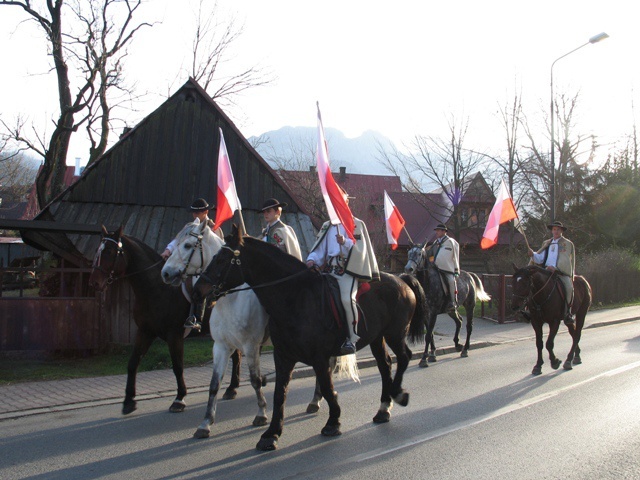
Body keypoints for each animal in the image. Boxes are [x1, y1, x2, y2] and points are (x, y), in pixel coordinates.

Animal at [87, 227, 242, 414]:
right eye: (98, 250)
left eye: (109, 251)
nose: (94, 283)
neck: (156, 288)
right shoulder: (145, 332)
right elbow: (133, 363)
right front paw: (129, 401)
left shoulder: (174, 335)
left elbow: (177, 366)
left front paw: (179, 398)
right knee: (236, 355)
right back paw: (232, 388)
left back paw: (232, 387)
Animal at [162, 220, 270, 438]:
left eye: (187, 245)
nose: (165, 273)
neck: (232, 298)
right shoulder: (221, 346)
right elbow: (214, 385)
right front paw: (205, 423)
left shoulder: (251, 346)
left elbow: (254, 379)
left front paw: (261, 413)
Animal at [192, 224, 428, 450]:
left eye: (222, 259)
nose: (197, 290)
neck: (296, 297)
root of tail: (401, 279)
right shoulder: (282, 356)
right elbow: (279, 393)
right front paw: (271, 433)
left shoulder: (318, 357)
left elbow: (327, 387)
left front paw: (333, 422)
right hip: (377, 338)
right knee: (385, 365)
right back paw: (383, 409)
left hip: (395, 334)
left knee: (404, 357)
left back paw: (398, 394)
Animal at [404, 242, 490, 370]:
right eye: (409, 253)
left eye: (419, 254)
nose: (408, 268)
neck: (427, 283)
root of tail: (469, 275)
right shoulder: (426, 314)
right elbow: (431, 334)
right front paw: (432, 355)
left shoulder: (433, 313)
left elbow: (428, 335)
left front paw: (424, 359)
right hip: (451, 310)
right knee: (459, 321)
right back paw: (457, 344)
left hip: (470, 306)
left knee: (469, 326)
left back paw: (465, 349)